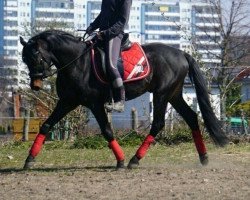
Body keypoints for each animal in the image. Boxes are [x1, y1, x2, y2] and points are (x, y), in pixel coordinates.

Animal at [20, 29, 228, 170]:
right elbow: (46, 125)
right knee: (191, 117)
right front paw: (29, 160)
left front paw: (120, 160)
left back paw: (134, 160)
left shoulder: (94, 104)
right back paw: (204, 157)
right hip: (174, 94)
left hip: (161, 94)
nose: (35, 85)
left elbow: (106, 130)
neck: (78, 62)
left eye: (36, 57)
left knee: (158, 123)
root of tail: (182, 54)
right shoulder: (67, 101)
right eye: (24, 59)